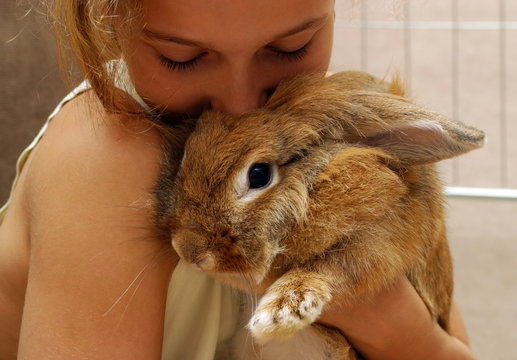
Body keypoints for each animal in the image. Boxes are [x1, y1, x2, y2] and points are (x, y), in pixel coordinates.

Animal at [153, 71, 484, 360]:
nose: (187, 249)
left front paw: (279, 315)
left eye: (259, 175)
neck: (317, 187)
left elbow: (331, 268)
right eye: (187, 154)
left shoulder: (381, 242)